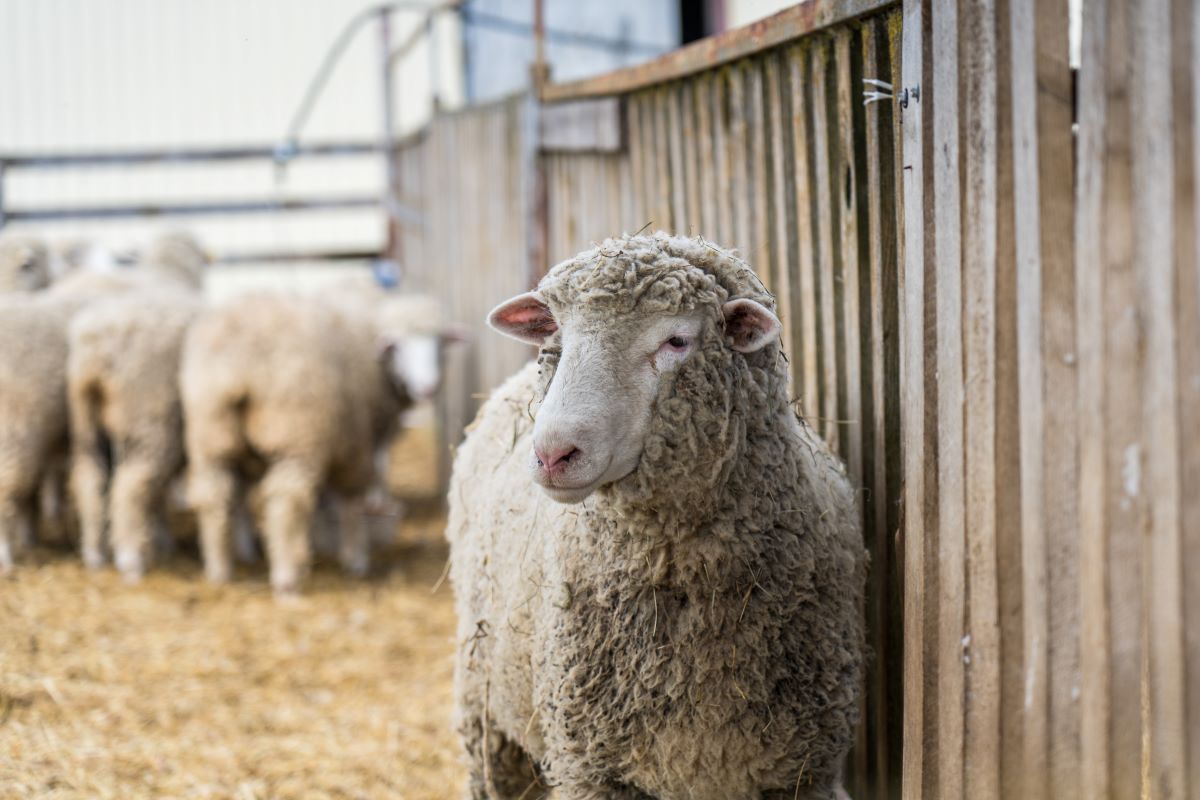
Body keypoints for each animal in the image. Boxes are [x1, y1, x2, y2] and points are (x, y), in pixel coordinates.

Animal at [66, 291, 204, 578]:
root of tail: (97, 354)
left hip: (86, 422)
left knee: (89, 479)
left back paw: (94, 554)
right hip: (148, 422)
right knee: (130, 486)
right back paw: (130, 562)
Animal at [178, 292, 453, 594]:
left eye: (440, 343)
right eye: (396, 347)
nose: (429, 387)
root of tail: (237, 367)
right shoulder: (357, 443)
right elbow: (351, 500)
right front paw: (355, 557)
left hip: (212, 435)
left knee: (214, 496)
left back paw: (219, 569)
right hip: (296, 434)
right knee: (287, 499)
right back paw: (286, 577)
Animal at [446, 232, 868, 800]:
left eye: (676, 341)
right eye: (559, 335)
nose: (553, 453)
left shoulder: (804, 772)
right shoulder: (590, 767)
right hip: (488, 714)